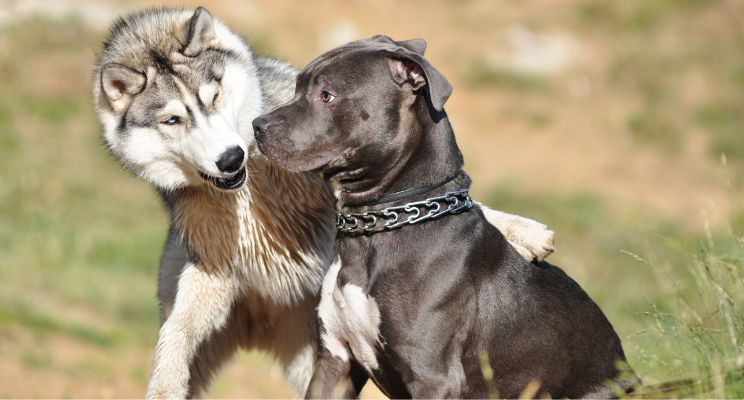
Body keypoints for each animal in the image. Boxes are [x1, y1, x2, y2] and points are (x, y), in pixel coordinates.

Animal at [93, 7, 556, 398]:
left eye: (214, 97)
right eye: (172, 120)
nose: (232, 157)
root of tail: (258, 326)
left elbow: (475, 205)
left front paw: (526, 233)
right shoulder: (214, 263)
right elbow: (176, 335)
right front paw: (164, 382)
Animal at [253, 36, 636, 398]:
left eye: (327, 95)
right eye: (297, 87)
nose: (258, 125)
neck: (375, 227)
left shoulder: (432, 376)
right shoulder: (335, 362)